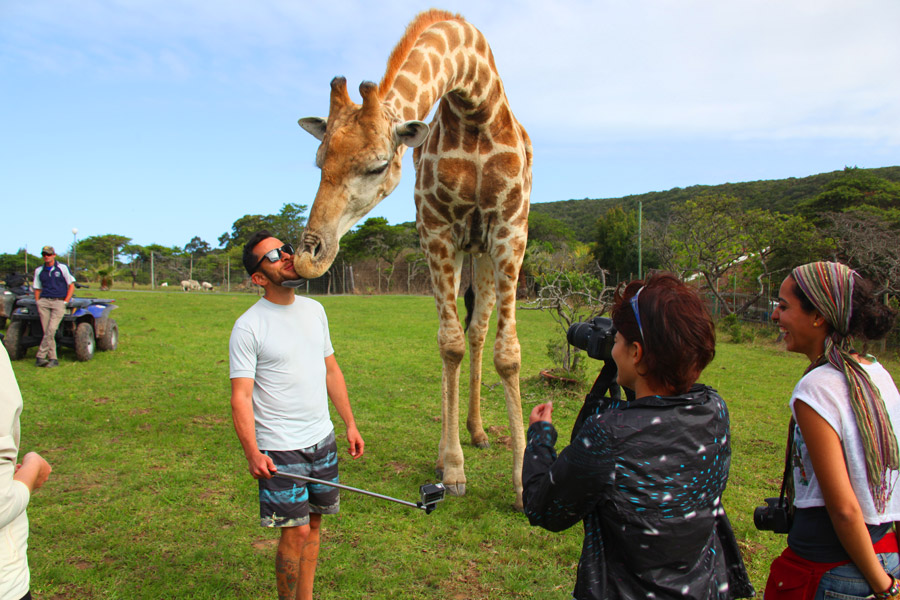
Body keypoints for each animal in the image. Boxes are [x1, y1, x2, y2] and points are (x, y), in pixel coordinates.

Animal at [298, 9, 532, 508]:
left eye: (377, 165)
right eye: (319, 160)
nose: (310, 255)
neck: (475, 105)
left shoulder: (511, 230)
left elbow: (507, 354)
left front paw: (524, 482)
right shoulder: (437, 230)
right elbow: (449, 345)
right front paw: (455, 469)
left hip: (484, 255)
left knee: (478, 331)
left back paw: (479, 431)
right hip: (460, 250)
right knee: (457, 338)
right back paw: (450, 451)